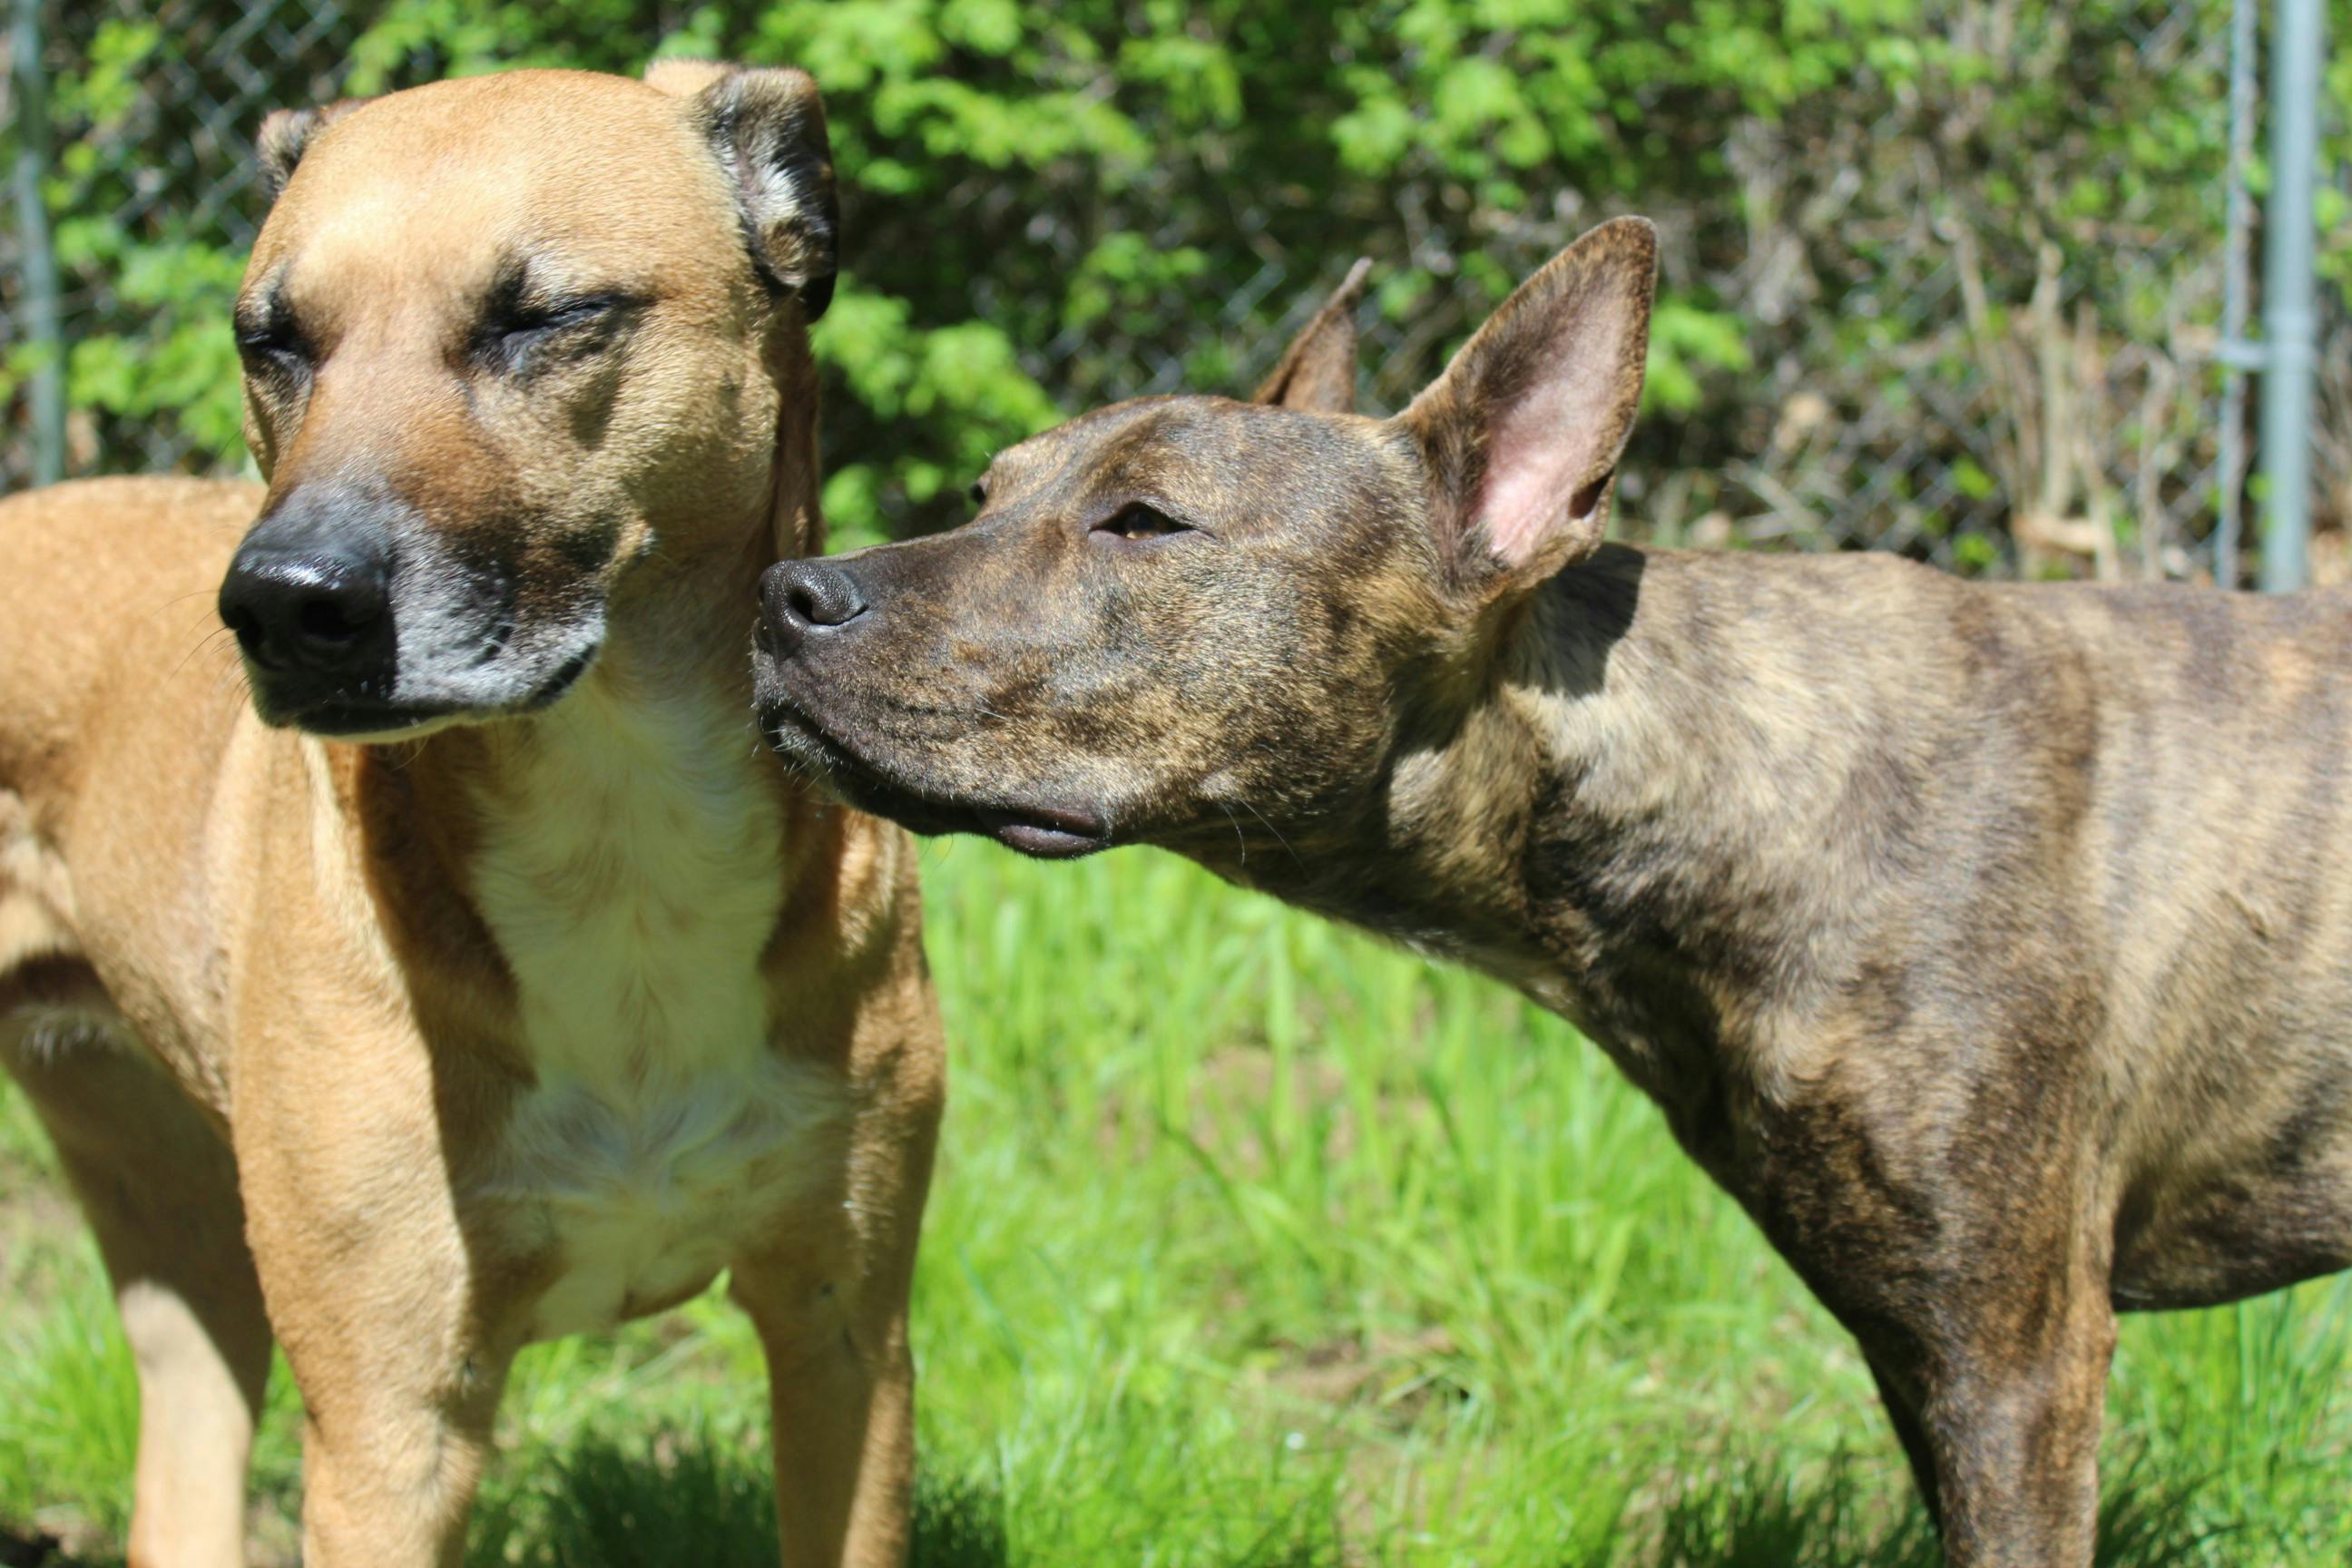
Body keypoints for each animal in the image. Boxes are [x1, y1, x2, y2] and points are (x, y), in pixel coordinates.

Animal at [0, 64, 936, 1568]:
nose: (281, 605)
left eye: (544, 318)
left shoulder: (847, 1338)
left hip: (189, 1245)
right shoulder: (389, 1432)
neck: (622, 844)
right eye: (273, 340)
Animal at [748, 220, 2352, 1568]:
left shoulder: (2015, 1367)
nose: (784, 596)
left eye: (1145, 522)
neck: (1720, 770)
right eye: (987, 493)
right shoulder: (1923, 1348)